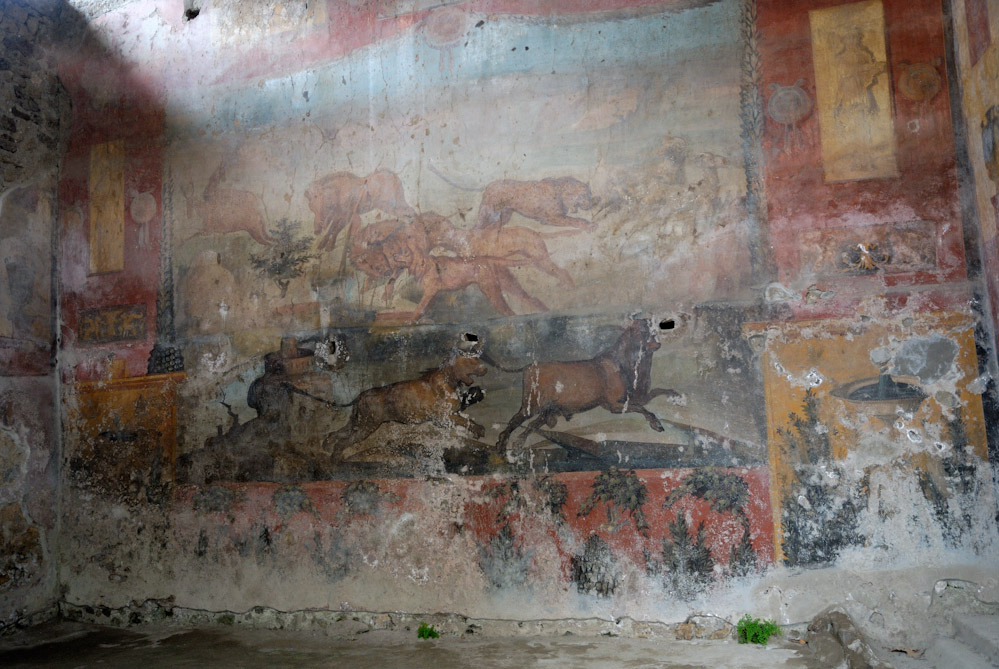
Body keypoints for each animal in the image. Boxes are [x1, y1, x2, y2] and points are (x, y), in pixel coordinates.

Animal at [326, 348, 486, 462]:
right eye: (472, 360)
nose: (485, 368)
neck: (450, 379)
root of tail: (359, 396)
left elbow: (465, 418)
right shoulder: (442, 418)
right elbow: (466, 421)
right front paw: (478, 430)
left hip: (356, 423)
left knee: (335, 434)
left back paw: (326, 446)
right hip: (367, 426)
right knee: (342, 442)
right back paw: (336, 460)